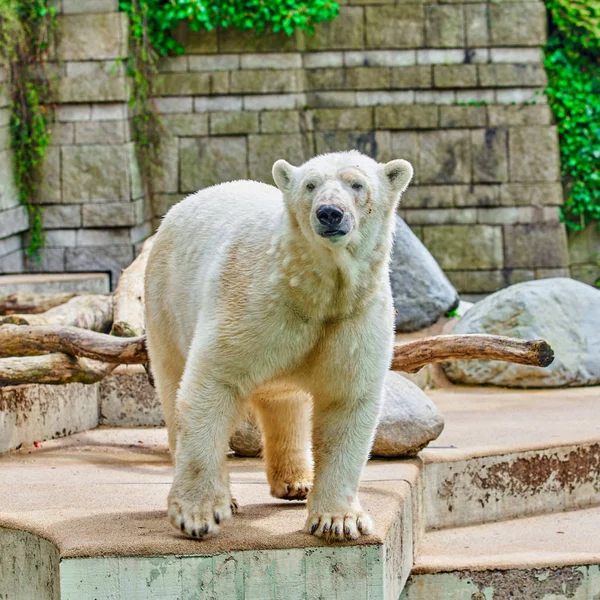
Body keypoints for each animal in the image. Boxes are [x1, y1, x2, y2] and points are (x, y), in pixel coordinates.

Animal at [145, 150, 412, 544]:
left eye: (356, 184)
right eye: (310, 185)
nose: (329, 213)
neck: (309, 288)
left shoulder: (353, 316)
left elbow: (345, 400)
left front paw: (338, 520)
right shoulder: (251, 302)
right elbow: (214, 381)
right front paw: (197, 515)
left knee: (284, 401)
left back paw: (296, 482)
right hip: (166, 302)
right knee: (172, 383)